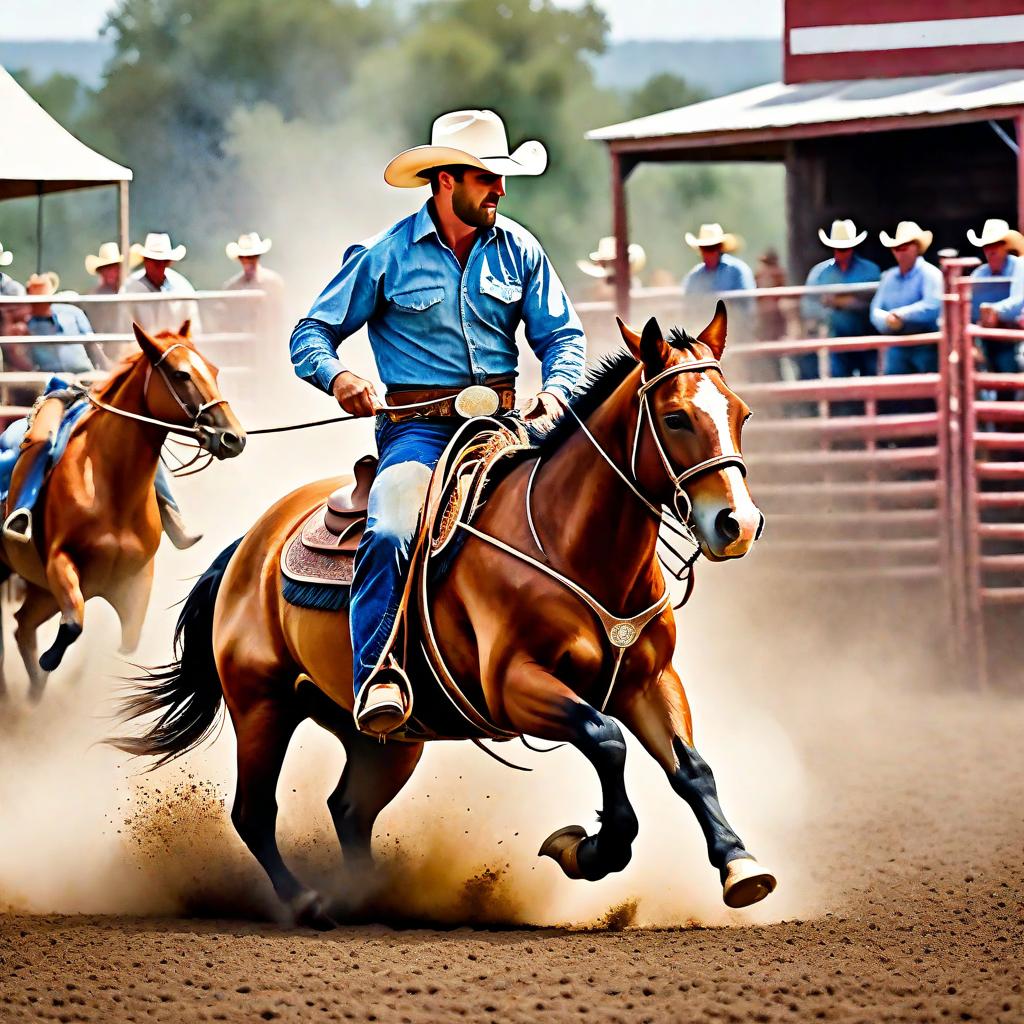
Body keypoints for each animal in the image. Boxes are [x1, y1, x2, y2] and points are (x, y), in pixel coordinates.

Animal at [0, 323, 243, 700]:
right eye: (181, 374)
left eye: (214, 370)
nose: (234, 437)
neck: (111, 489)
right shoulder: (59, 563)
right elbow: (74, 624)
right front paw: (52, 660)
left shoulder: (137, 579)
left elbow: (127, 645)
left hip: (42, 592)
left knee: (22, 626)